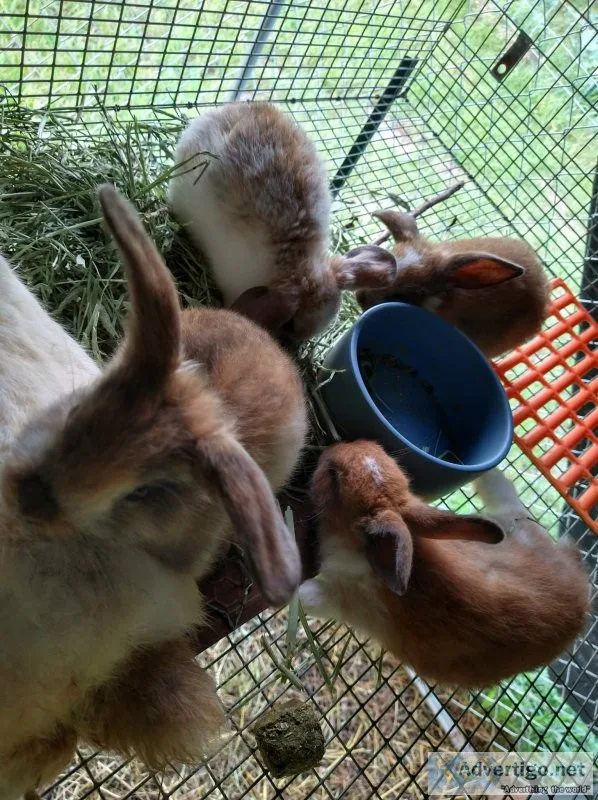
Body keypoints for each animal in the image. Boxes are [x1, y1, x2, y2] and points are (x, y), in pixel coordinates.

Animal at [299, 441, 590, 688]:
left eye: (334, 476)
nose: (330, 447)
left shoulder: (340, 596)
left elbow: (307, 594)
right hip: (510, 526)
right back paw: (491, 474)